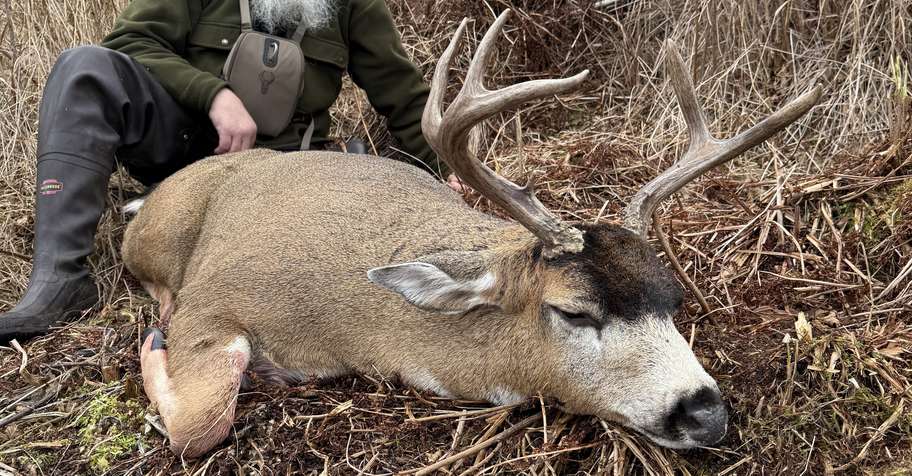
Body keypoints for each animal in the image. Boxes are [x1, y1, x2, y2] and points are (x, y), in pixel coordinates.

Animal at [122, 10, 821, 458]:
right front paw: (157, 347)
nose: (705, 411)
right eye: (573, 312)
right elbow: (200, 423)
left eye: (672, 301)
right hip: (155, 237)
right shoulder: (217, 297)